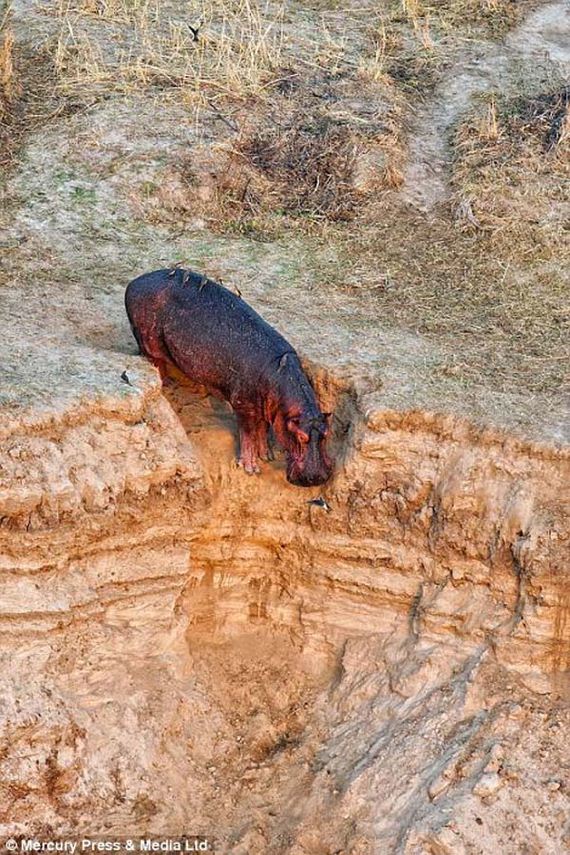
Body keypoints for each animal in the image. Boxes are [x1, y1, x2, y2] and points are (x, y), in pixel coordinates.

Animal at [125, 268, 333, 487]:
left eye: (327, 433)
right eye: (300, 436)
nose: (315, 478)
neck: (280, 377)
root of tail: (134, 282)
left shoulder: (266, 405)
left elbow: (263, 428)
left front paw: (266, 456)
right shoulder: (243, 405)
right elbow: (248, 434)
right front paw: (250, 469)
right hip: (149, 344)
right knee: (154, 365)